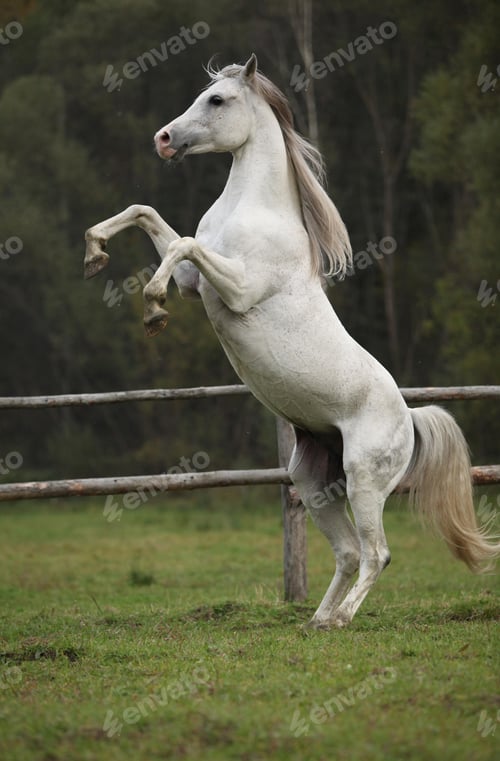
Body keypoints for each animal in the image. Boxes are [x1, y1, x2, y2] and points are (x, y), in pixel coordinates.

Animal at [84, 54, 498, 628]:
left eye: (217, 100)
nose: (164, 139)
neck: (252, 209)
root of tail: (410, 419)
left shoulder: (235, 289)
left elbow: (183, 244)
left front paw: (152, 309)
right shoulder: (197, 284)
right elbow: (149, 215)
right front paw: (95, 251)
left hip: (364, 482)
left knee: (377, 553)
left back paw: (342, 619)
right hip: (313, 484)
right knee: (347, 552)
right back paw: (318, 620)